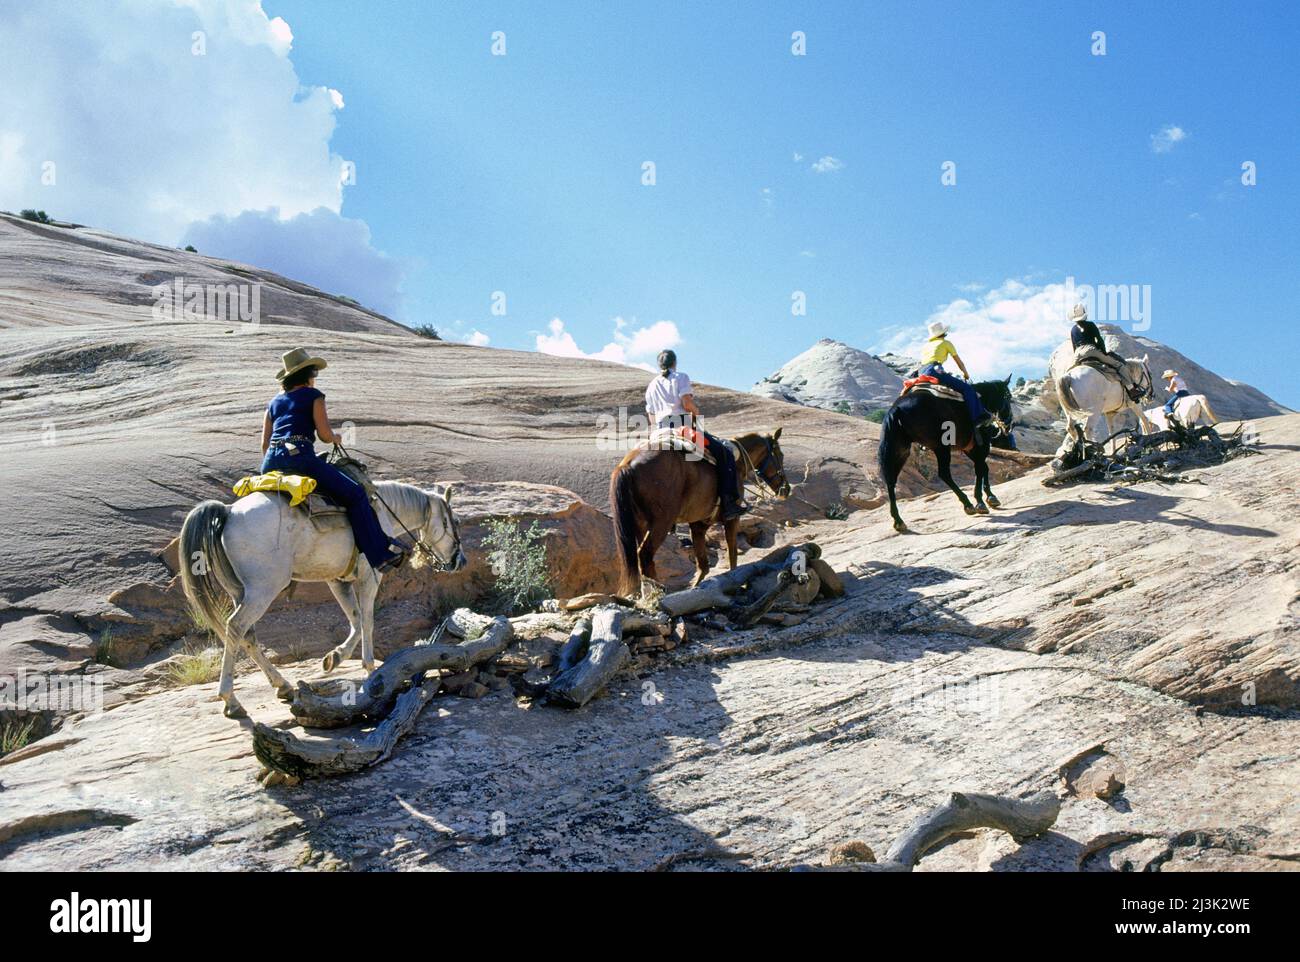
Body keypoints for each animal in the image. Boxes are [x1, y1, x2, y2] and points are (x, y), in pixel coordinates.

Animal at [180, 478, 465, 717]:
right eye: (455, 522)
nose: (460, 561)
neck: (382, 513)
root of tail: (228, 512)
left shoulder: (336, 581)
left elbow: (355, 620)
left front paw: (334, 658)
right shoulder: (370, 576)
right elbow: (368, 621)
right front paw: (370, 668)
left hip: (239, 591)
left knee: (247, 635)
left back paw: (282, 685)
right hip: (262, 590)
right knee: (236, 626)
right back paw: (231, 700)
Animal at [608, 428, 790, 592]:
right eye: (780, 455)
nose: (786, 489)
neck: (737, 462)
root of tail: (628, 465)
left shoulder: (698, 524)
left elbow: (703, 564)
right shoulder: (732, 519)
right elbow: (732, 554)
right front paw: (735, 581)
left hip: (640, 524)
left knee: (641, 558)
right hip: (661, 522)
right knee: (645, 555)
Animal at [873, 374, 1013, 533]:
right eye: (1009, 397)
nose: (1009, 423)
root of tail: (896, 409)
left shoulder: (969, 448)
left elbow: (983, 468)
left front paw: (989, 498)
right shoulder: (980, 444)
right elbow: (981, 469)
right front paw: (982, 501)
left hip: (900, 449)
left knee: (890, 480)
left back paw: (898, 520)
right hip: (941, 447)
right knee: (944, 473)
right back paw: (967, 504)